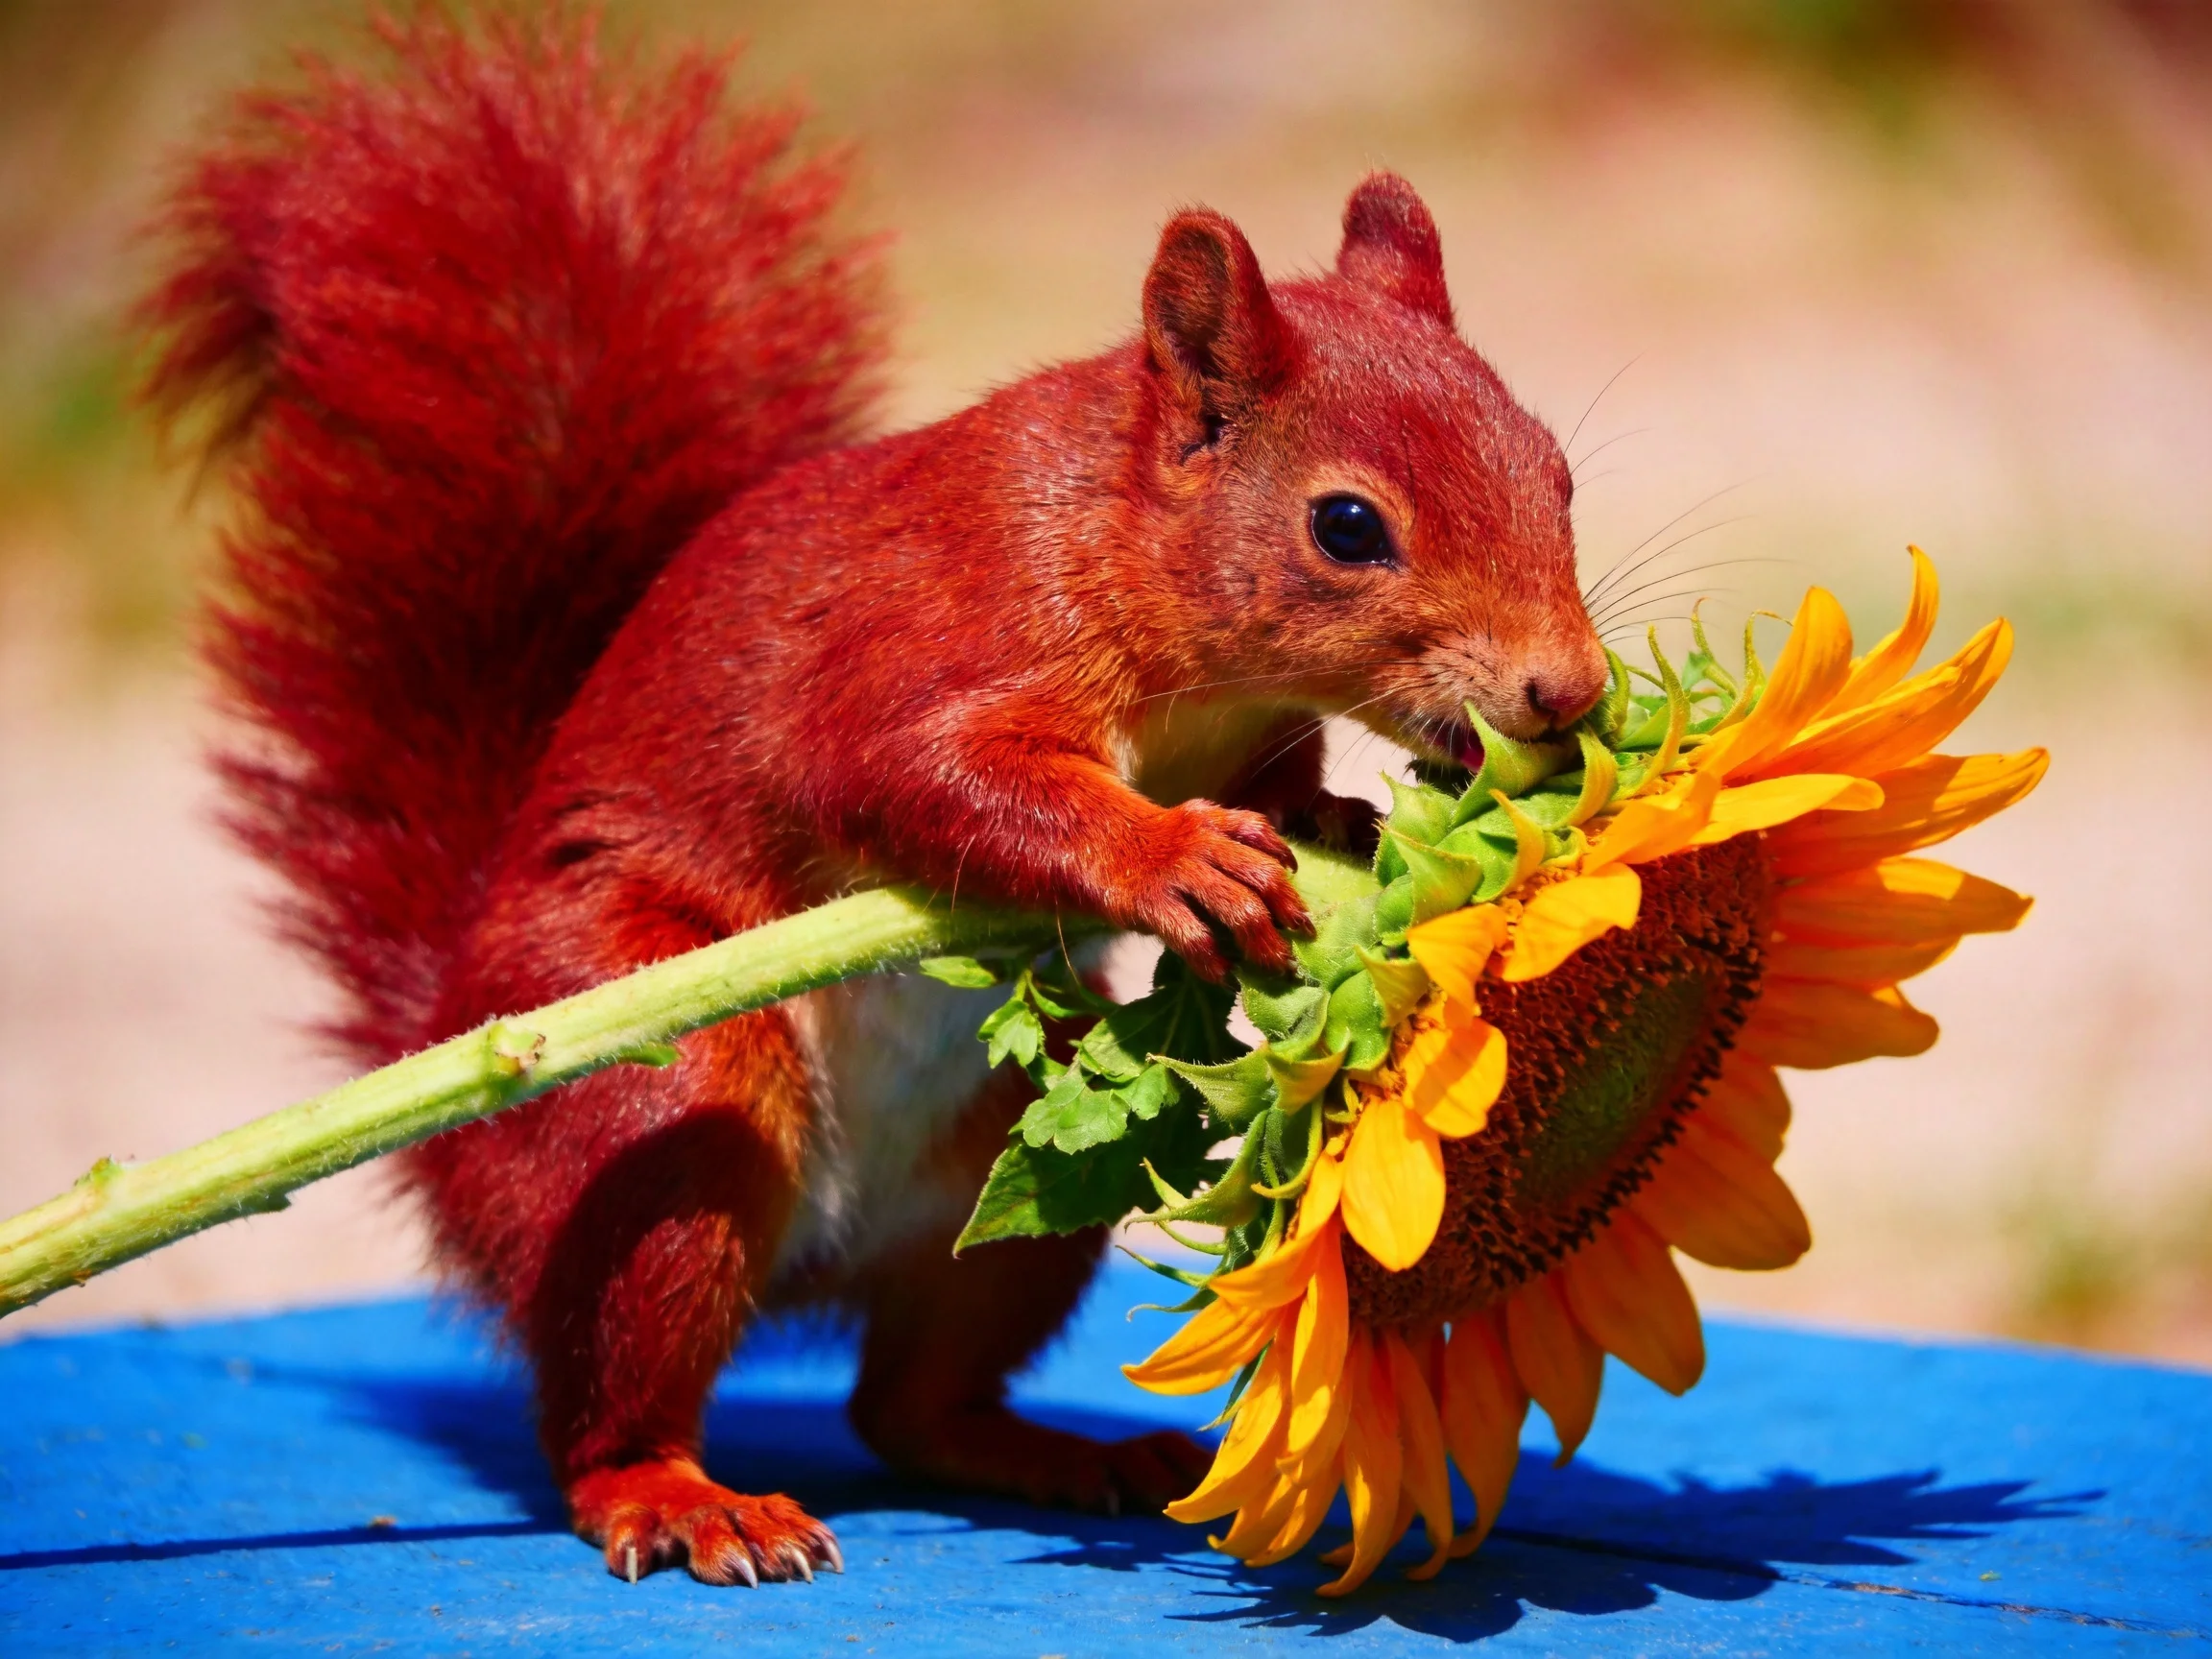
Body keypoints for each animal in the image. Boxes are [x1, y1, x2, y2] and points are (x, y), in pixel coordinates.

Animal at [143, 12, 1608, 1587]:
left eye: (1556, 470)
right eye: (1346, 527)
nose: (1569, 693)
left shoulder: (1248, 732)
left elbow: (1281, 784)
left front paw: (1345, 826)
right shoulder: (928, 639)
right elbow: (929, 774)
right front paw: (1170, 858)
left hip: (1031, 1189)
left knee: (906, 1405)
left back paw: (1061, 1452)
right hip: (659, 1123)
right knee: (608, 1411)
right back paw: (681, 1497)